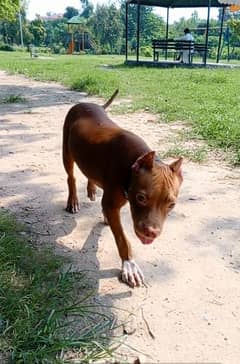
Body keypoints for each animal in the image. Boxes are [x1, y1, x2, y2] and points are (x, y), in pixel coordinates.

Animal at [62, 90, 183, 288]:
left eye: (172, 205)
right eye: (141, 198)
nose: (151, 233)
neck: (132, 164)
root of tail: (87, 104)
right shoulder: (112, 205)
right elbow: (122, 238)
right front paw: (129, 265)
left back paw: (92, 189)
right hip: (67, 150)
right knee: (71, 176)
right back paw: (73, 201)